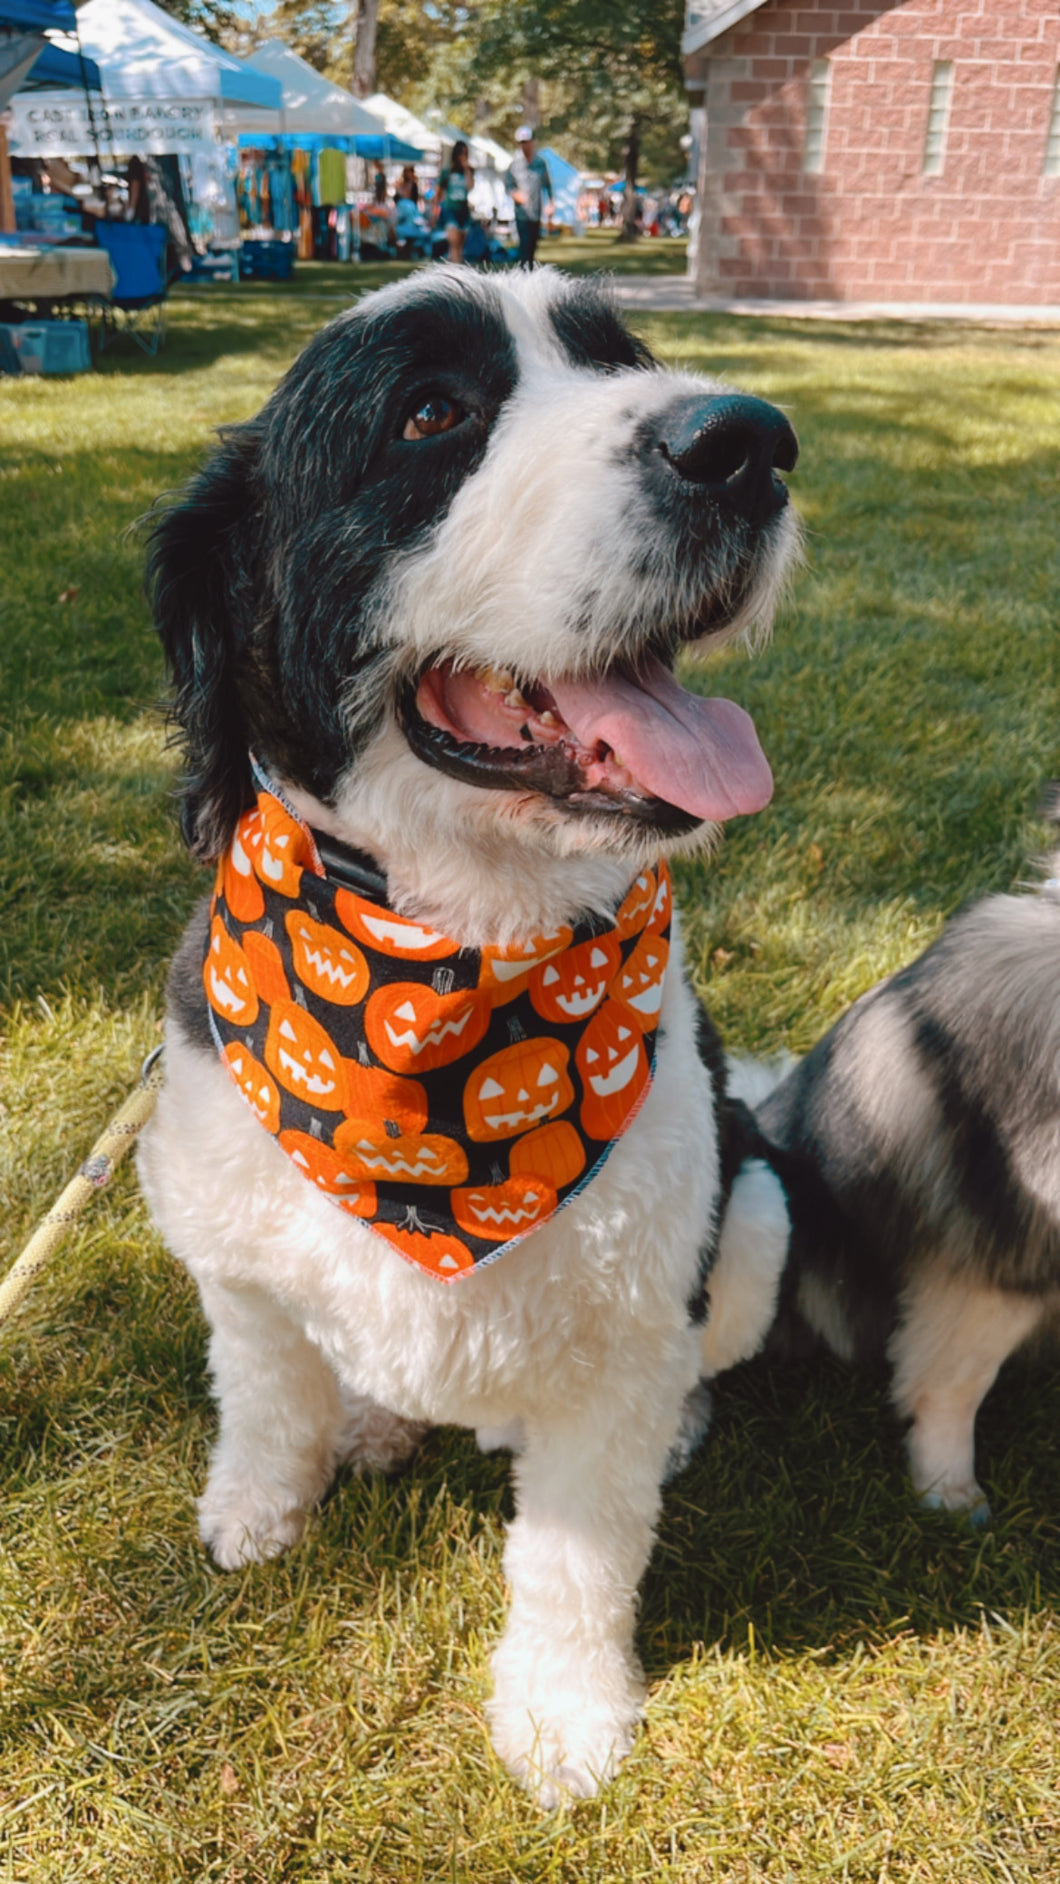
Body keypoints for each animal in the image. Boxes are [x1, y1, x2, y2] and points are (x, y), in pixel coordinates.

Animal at [141, 265, 802, 1793]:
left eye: (620, 357)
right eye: (430, 414)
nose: (745, 440)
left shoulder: (624, 1338)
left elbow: (580, 1554)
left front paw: (563, 1715)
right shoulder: (234, 1258)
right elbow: (265, 1395)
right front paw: (258, 1509)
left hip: (756, 1218)